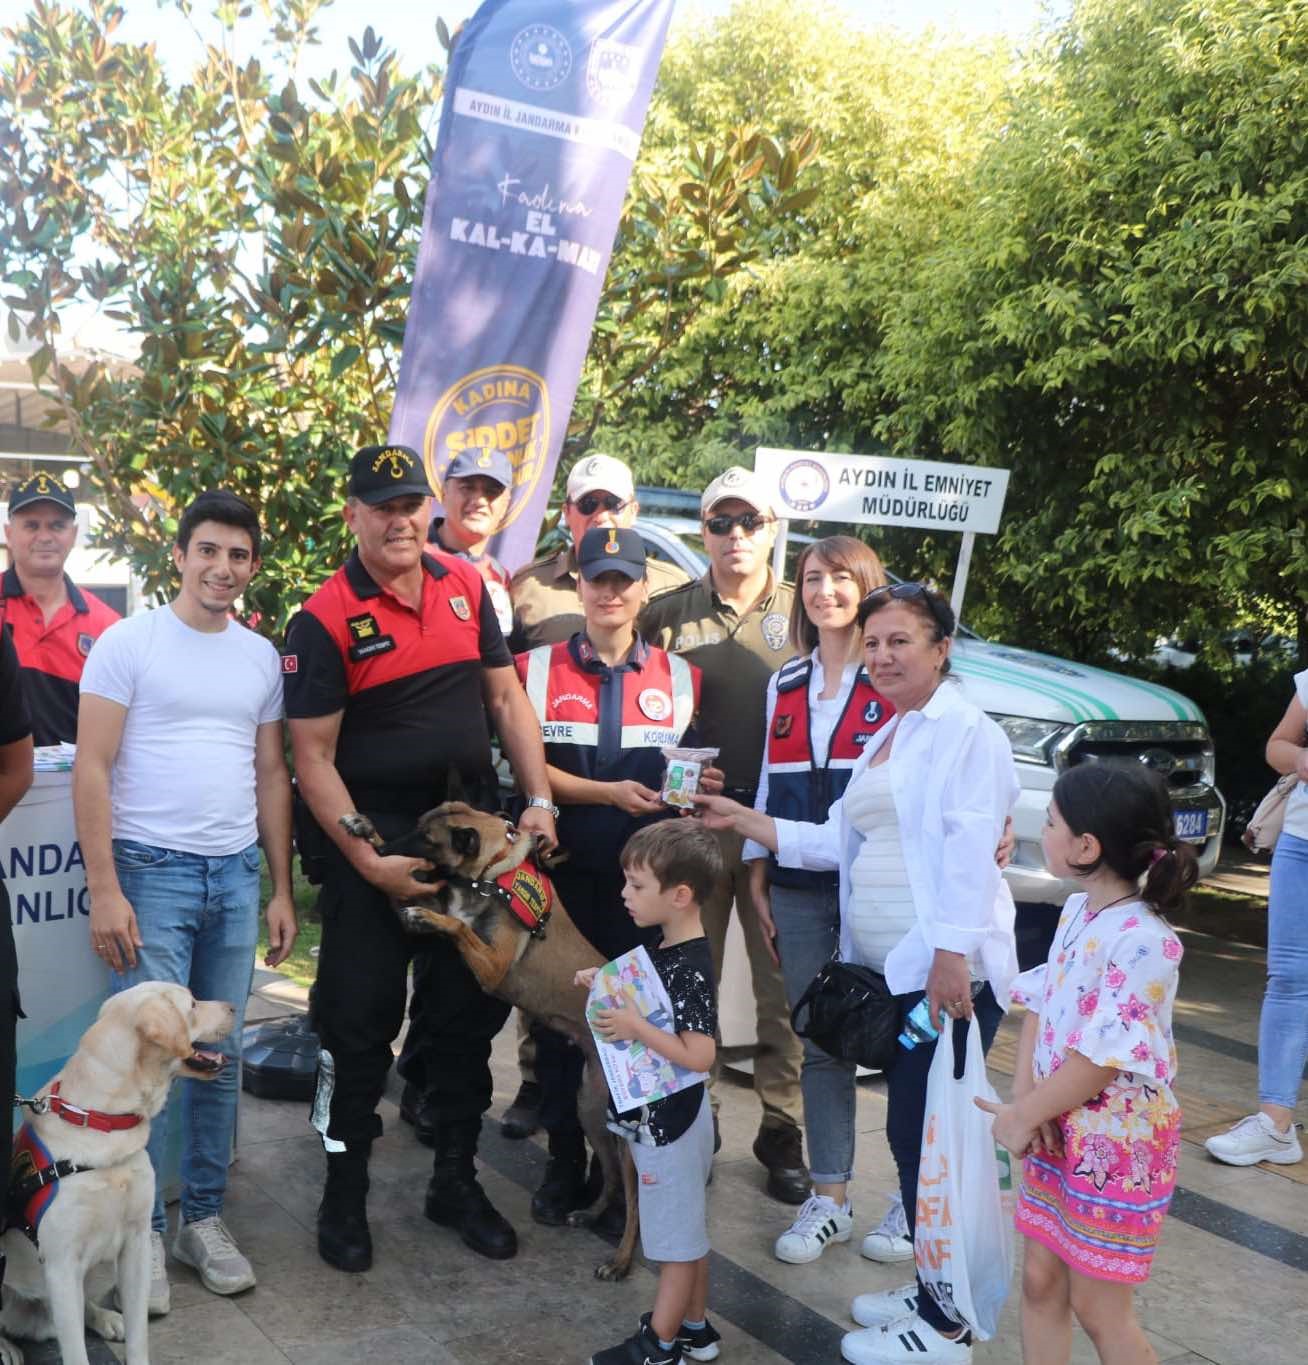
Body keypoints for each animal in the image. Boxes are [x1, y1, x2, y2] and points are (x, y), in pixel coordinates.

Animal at [1, 982, 234, 1365]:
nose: (232, 1007)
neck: (102, 1120)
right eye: (193, 1004)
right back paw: (5, 1347)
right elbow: (76, 1353)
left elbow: (140, 1333)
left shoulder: (136, 1245)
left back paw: (106, 1318)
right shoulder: (61, 1264)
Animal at [339, 797, 641, 1277]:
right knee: (611, 1178)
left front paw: (428, 915)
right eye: (416, 827)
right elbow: (431, 909)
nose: (386, 855)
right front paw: (362, 827)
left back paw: (621, 1259)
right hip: (591, 1108)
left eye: (427, 840)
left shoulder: (493, 966)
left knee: (634, 1196)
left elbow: (459, 927)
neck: (491, 874)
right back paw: (589, 1215)